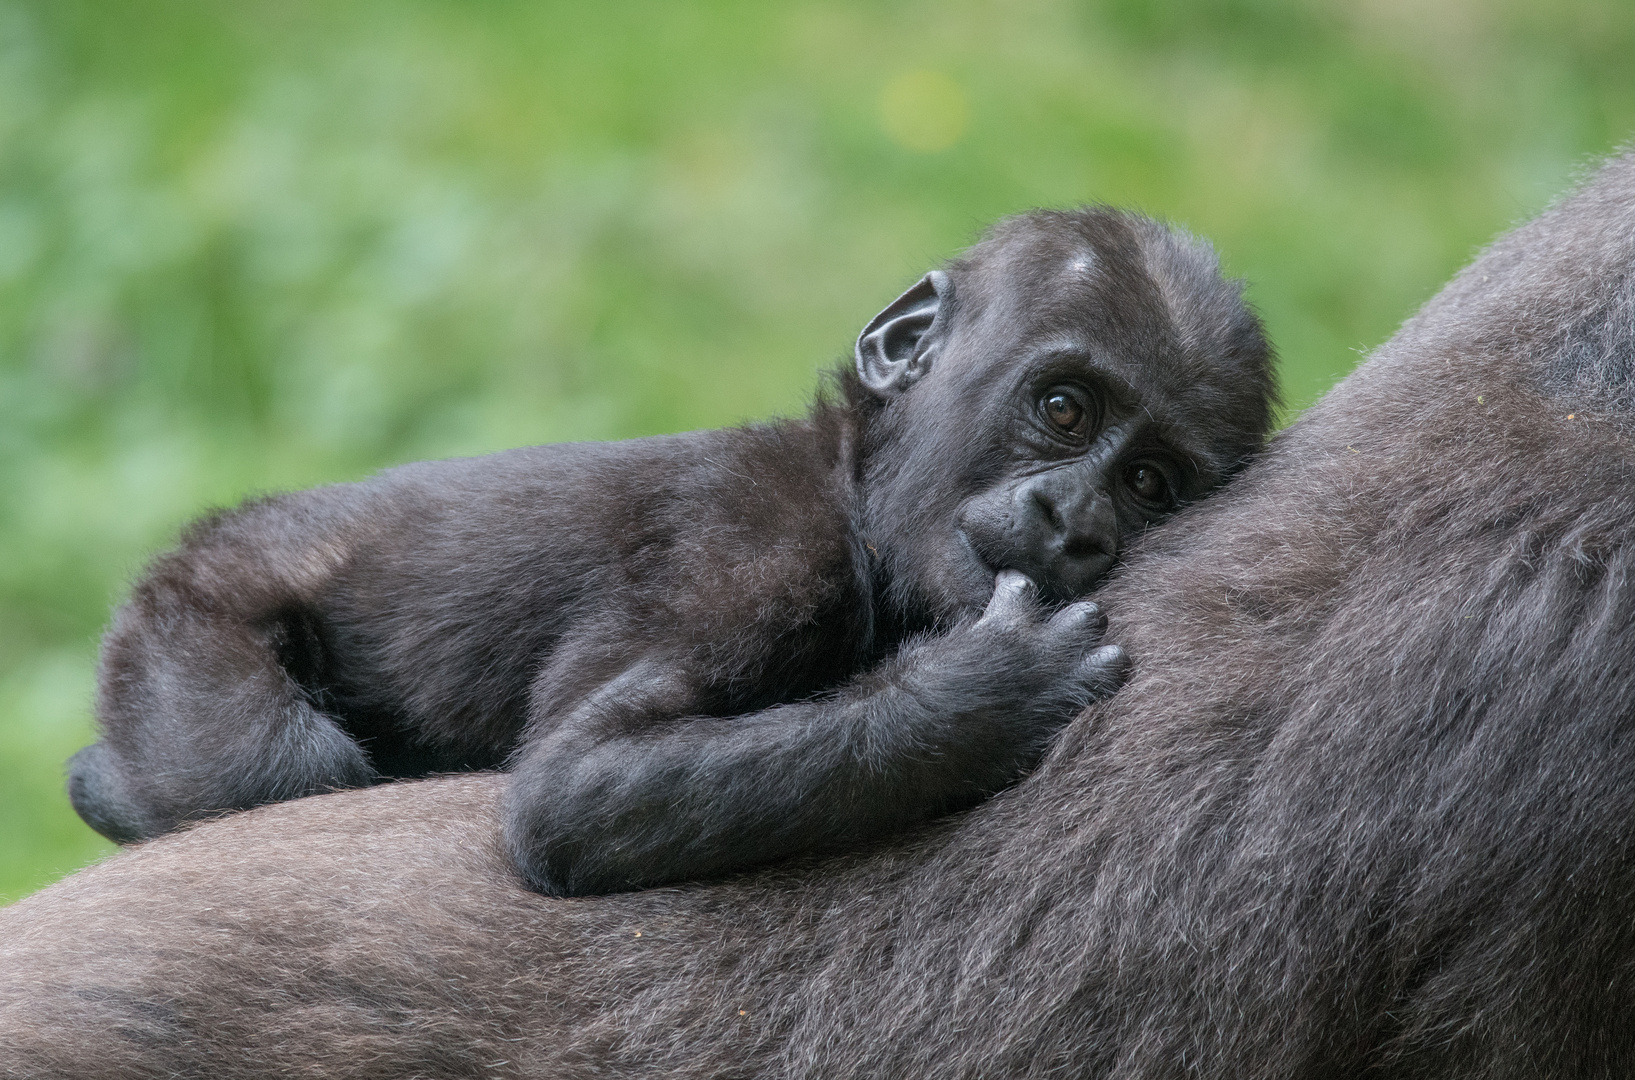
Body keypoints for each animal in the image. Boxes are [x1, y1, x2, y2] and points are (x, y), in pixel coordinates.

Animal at [70, 208, 1275, 895]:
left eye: (1151, 485)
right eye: (1064, 410)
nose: (1077, 521)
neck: (852, 483)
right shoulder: (751, 552)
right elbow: (578, 789)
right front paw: (981, 695)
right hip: (189, 613)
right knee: (280, 768)